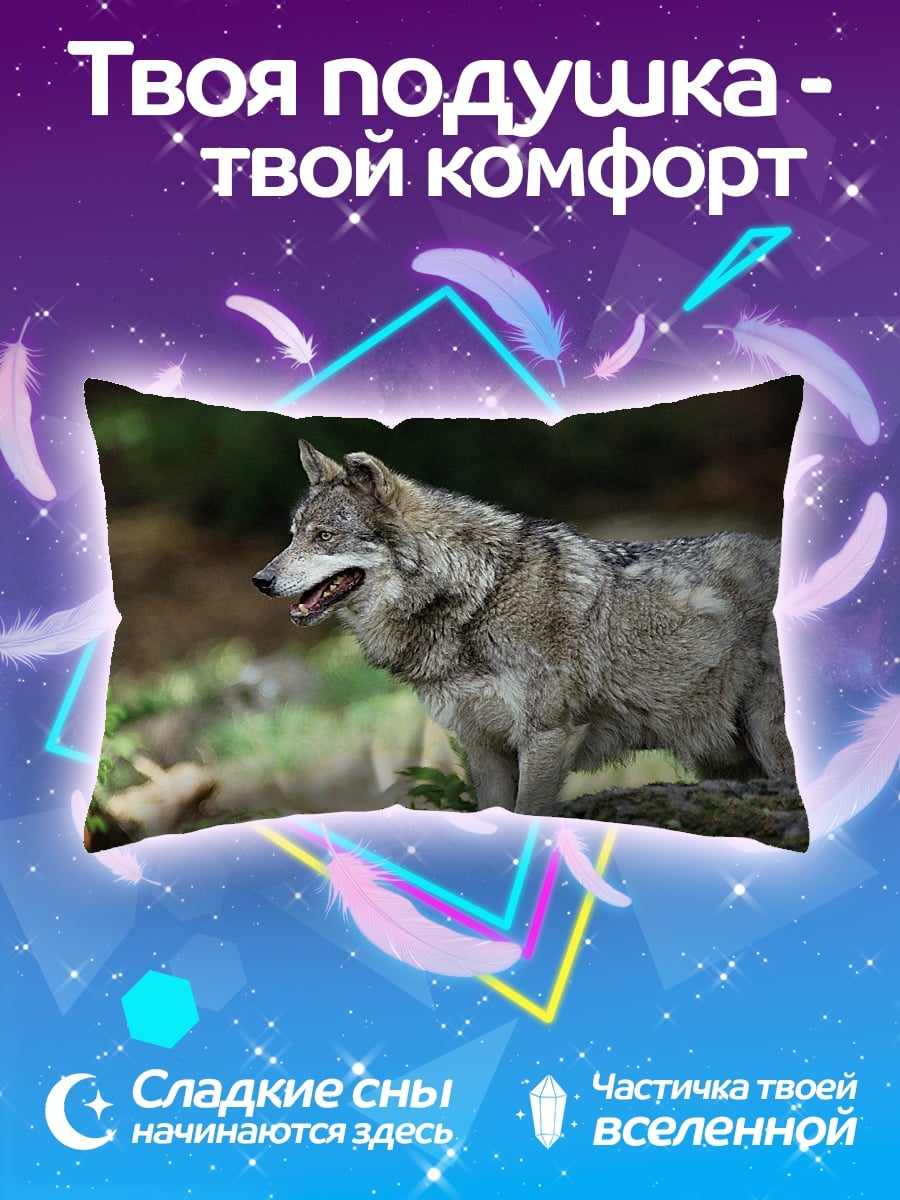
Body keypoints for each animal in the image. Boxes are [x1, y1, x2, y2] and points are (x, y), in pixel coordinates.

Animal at [252, 441, 794, 815]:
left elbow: (529, 811)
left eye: (325, 537)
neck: (478, 597)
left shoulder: (547, 735)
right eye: (293, 536)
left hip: (768, 738)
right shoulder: (483, 746)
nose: (261, 580)